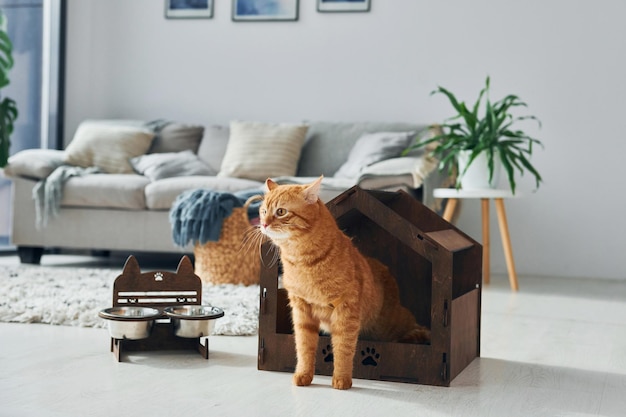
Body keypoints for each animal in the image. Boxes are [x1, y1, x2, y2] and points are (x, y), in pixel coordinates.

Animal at [255, 174, 428, 388]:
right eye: (263, 211)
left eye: (280, 211)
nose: (263, 224)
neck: (303, 262)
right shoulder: (301, 311)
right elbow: (303, 347)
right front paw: (304, 374)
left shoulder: (346, 311)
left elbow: (344, 349)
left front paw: (342, 379)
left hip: (389, 325)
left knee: (415, 327)